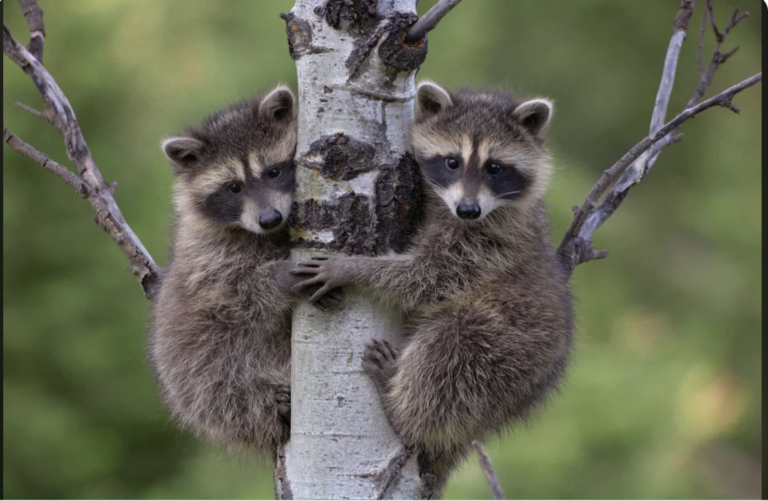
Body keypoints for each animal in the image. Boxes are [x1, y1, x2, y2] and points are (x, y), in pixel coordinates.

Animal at [148, 86, 339, 455]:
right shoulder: (209, 259)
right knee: (221, 386)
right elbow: (239, 294)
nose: (269, 219)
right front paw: (282, 276)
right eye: (233, 187)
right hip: (191, 368)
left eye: (273, 172)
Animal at [291, 82, 574, 492]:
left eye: (494, 167)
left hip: (505, 355)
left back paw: (400, 408)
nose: (468, 210)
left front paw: (355, 268)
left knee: (450, 349)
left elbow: (425, 278)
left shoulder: (487, 245)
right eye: (452, 162)